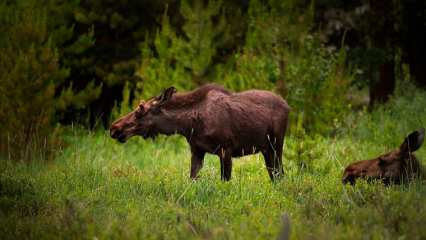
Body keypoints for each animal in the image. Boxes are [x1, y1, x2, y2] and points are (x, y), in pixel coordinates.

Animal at [109, 84, 290, 180]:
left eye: (140, 109)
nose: (114, 128)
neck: (188, 125)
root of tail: (288, 106)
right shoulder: (197, 150)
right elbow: (192, 178)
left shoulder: (226, 149)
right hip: (266, 149)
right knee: (274, 174)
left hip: (276, 144)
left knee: (280, 173)